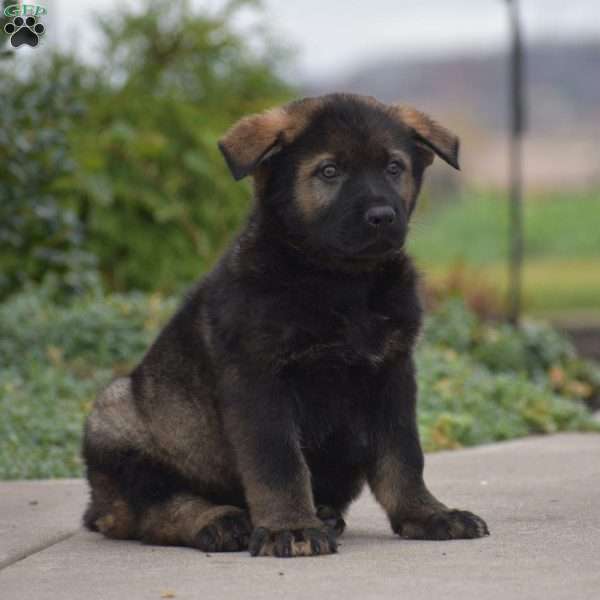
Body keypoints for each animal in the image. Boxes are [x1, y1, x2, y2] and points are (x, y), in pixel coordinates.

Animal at [83, 94, 488, 556]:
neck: (342, 283)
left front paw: (426, 513)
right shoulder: (260, 380)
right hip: (116, 417)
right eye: (329, 171)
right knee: (153, 510)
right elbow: (279, 462)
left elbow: (403, 457)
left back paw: (323, 515)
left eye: (393, 167)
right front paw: (290, 527)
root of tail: (95, 506)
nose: (383, 216)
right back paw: (220, 520)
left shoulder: (392, 374)